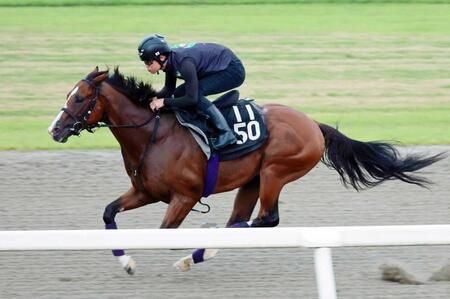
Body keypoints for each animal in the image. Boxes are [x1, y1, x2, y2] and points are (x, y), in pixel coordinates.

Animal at [48, 67, 442, 276]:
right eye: (68, 94)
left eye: (79, 98)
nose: (54, 129)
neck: (152, 134)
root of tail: (313, 124)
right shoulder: (146, 191)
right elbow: (109, 212)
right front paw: (127, 261)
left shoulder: (184, 196)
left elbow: (163, 233)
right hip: (252, 180)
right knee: (243, 220)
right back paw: (201, 252)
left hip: (275, 171)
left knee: (267, 219)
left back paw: (200, 249)